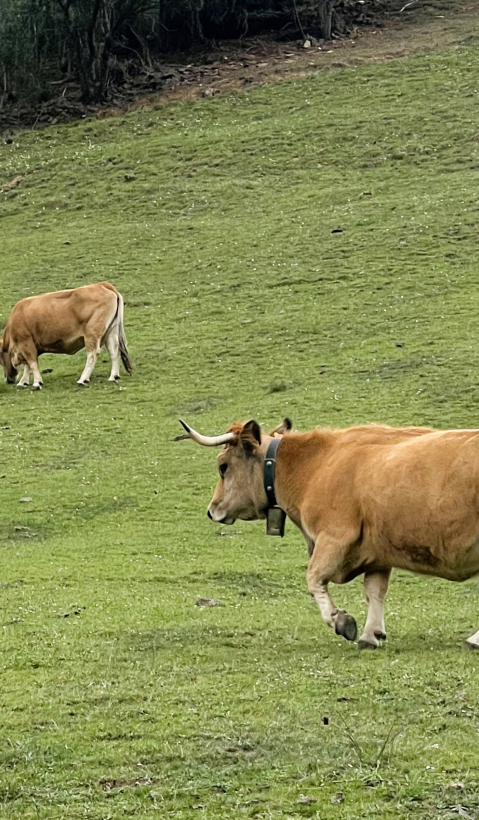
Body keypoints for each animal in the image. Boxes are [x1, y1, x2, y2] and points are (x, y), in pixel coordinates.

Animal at [0, 282, 132, 389]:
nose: (8, 380)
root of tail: (101, 285)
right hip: (111, 332)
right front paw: (24, 381)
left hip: (92, 334)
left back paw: (83, 379)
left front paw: (36, 383)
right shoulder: (29, 345)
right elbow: (28, 364)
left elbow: (32, 363)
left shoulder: (26, 343)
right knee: (114, 352)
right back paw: (113, 376)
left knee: (92, 355)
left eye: (0, 359)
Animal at [179, 417, 479, 650]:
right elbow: (374, 591)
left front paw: (341, 620)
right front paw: (371, 634)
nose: (212, 510)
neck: (315, 465)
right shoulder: (378, 551)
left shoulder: (334, 537)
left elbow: (313, 579)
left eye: (223, 467)